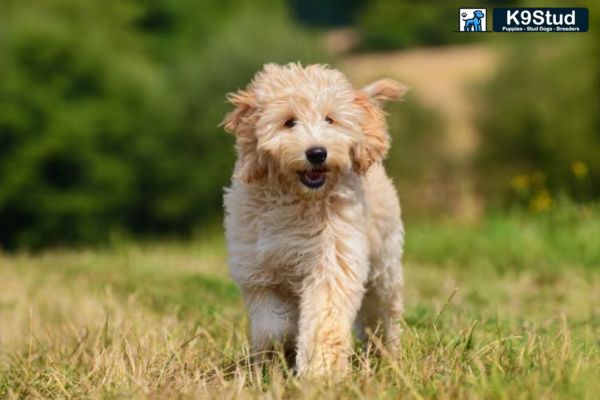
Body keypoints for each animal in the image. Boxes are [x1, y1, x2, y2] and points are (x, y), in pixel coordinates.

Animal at [223, 62, 406, 376]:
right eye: (289, 122)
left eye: (330, 119)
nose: (317, 153)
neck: (296, 200)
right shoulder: (258, 272)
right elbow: (271, 326)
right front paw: (279, 351)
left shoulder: (332, 261)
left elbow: (324, 321)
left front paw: (321, 372)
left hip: (384, 263)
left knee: (383, 310)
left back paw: (387, 353)